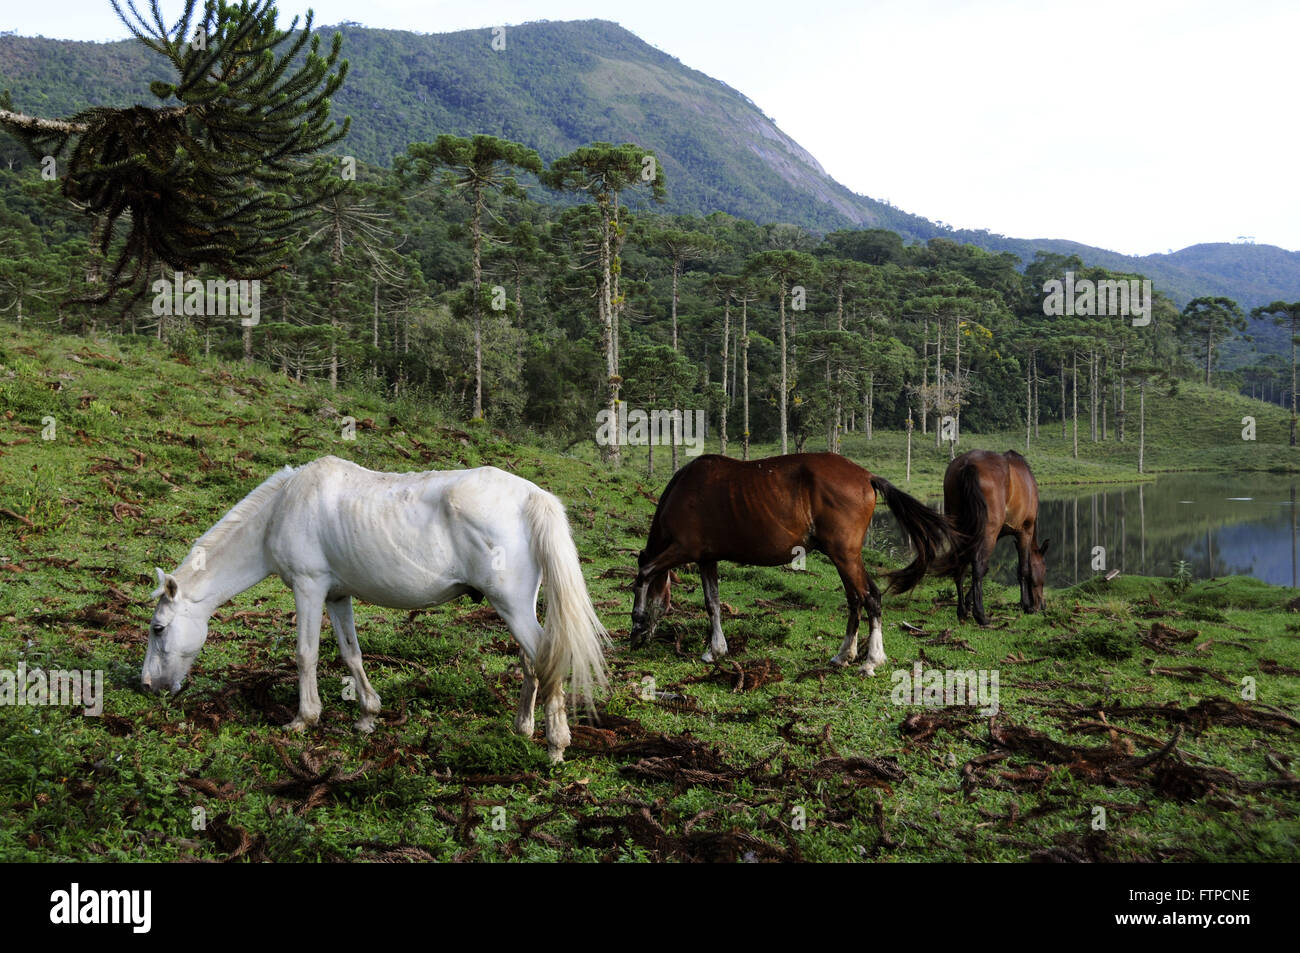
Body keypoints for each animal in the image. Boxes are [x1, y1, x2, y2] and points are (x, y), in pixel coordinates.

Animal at [144, 452, 611, 759]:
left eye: (158, 628)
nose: (147, 685)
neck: (283, 506)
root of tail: (530, 497)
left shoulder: (308, 588)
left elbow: (306, 654)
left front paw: (304, 719)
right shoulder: (336, 596)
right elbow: (351, 653)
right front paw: (367, 715)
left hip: (510, 605)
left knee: (547, 657)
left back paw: (555, 745)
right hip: (519, 607)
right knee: (534, 662)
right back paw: (524, 729)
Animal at [629, 452, 967, 670]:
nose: (635, 640)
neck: (685, 490)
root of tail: (867, 477)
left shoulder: (683, 549)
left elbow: (645, 572)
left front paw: (640, 617)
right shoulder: (706, 559)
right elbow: (712, 603)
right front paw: (716, 650)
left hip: (844, 554)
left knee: (869, 597)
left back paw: (871, 659)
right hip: (844, 557)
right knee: (856, 598)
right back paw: (844, 655)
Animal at [935, 452, 1045, 629]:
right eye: (1044, 570)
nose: (1042, 605)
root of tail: (968, 464)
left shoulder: (998, 533)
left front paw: (968, 601)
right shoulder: (1024, 531)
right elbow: (1023, 569)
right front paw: (1026, 605)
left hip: (960, 527)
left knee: (961, 565)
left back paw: (962, 611)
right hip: (988, 531)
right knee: (978, 566)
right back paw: (981, 616)